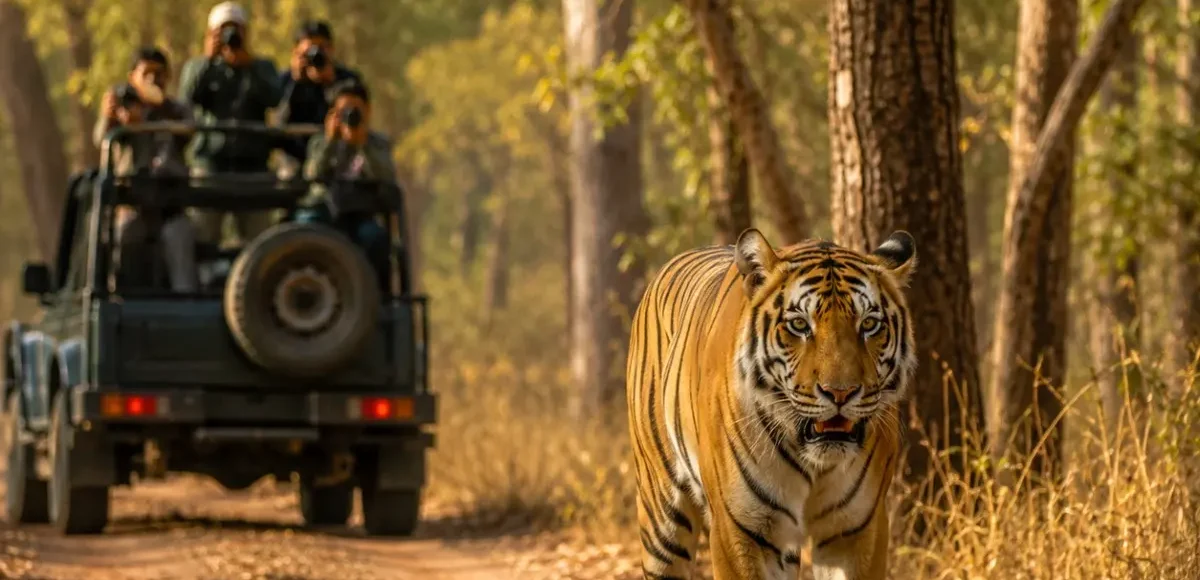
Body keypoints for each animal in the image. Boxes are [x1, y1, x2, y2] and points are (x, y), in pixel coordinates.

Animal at [625, 228, 917, 580]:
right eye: (800, 325)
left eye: (869, 325)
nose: (840, 393)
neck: (815, 464)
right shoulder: (739, 530)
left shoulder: (857, 530)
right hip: (661, 514)